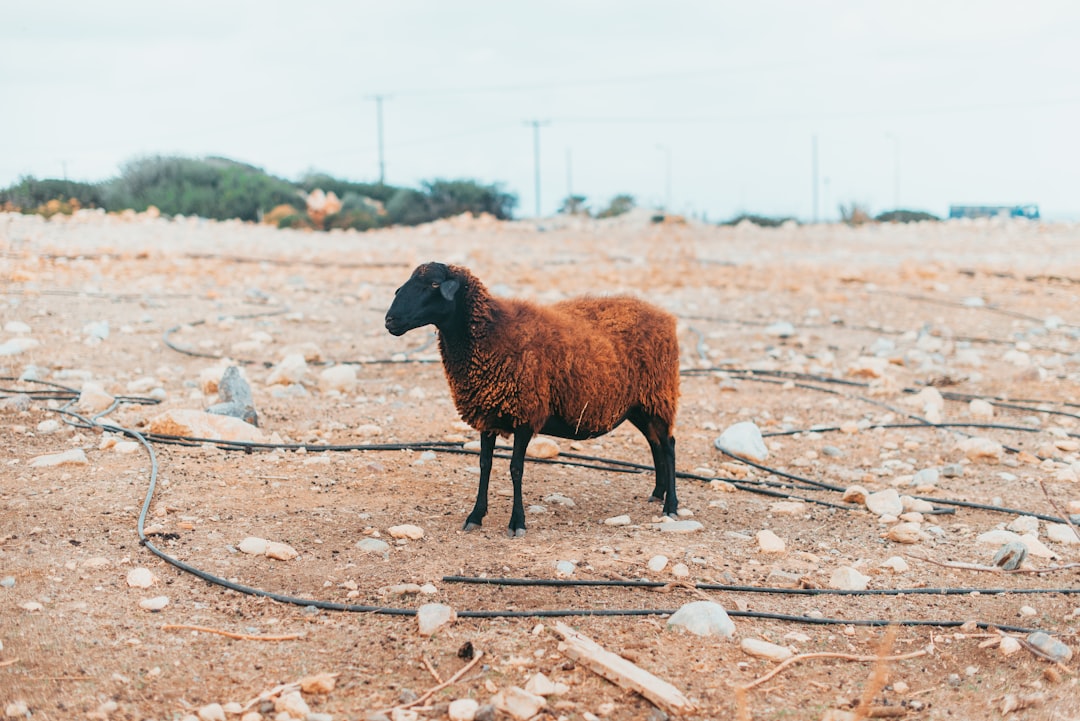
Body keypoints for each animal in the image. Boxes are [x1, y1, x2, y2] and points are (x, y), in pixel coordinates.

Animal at [384, 262, 678, 537]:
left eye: (434, 284)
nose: (389, 320)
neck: (493, 332)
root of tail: (665, 317)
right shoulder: (487, 414)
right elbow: (484, 465)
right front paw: (475, 516)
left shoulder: (525, 414)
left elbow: (516, 469)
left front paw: (517, 523)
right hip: (639, 405)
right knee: (655, 443)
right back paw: (657, 493)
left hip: (659, 396)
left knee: (668, 446)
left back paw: (671, 506)